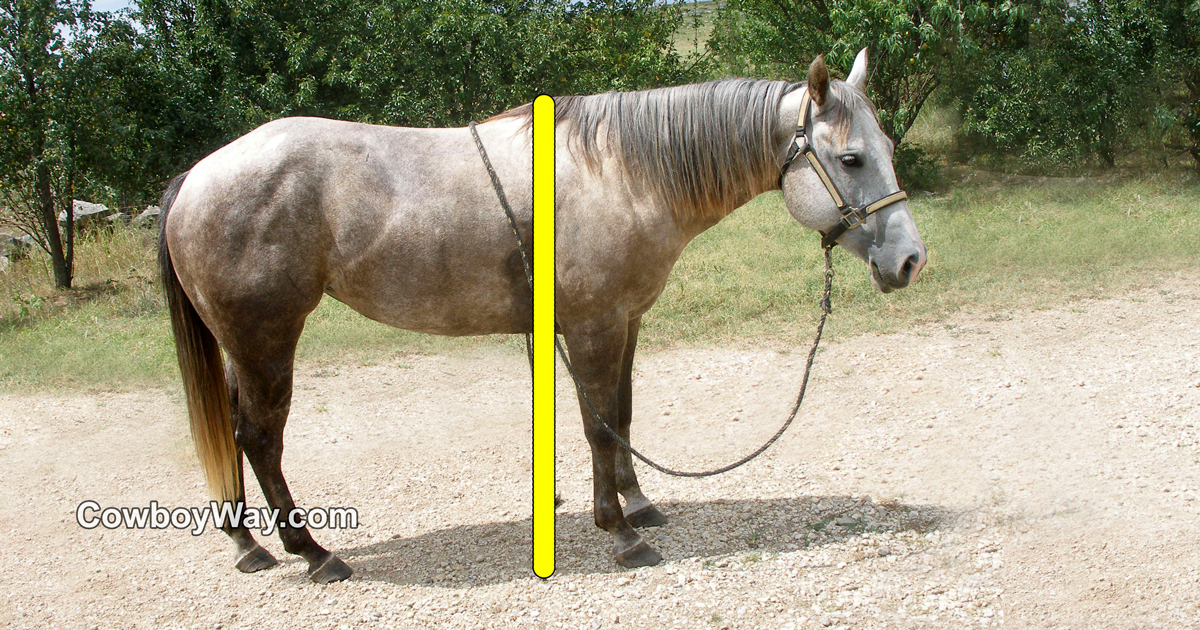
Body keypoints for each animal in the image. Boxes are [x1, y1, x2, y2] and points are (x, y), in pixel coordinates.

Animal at [158, 49, 926, 583]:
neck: (621, 173)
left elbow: (621, 416)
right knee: (260, 438)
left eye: (885, 150)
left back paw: (249, 543)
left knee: (237, 434)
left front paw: (638, 504)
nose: (911, 260)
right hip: (266, 340)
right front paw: (620, 533)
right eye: (850, 158)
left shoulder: (624, 322)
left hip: (242, 347)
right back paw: (313, 552)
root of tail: (197, 177)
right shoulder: (592, 327)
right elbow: (596, 423)